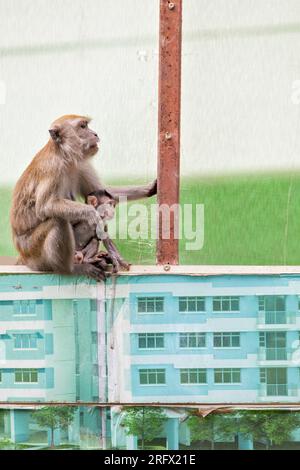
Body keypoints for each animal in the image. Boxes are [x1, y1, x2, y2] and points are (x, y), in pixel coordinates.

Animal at [11, 115, 157, 280]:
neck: (64, 156)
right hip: (34, 253)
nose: (95, 133)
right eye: (82, 126)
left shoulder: (80, 164)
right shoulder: (53, 168)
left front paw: (150, 188)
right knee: (57, 220)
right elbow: (45, 206)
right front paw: (92, 214)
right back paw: (72, 269)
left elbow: (103, 190)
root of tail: (23, 256)